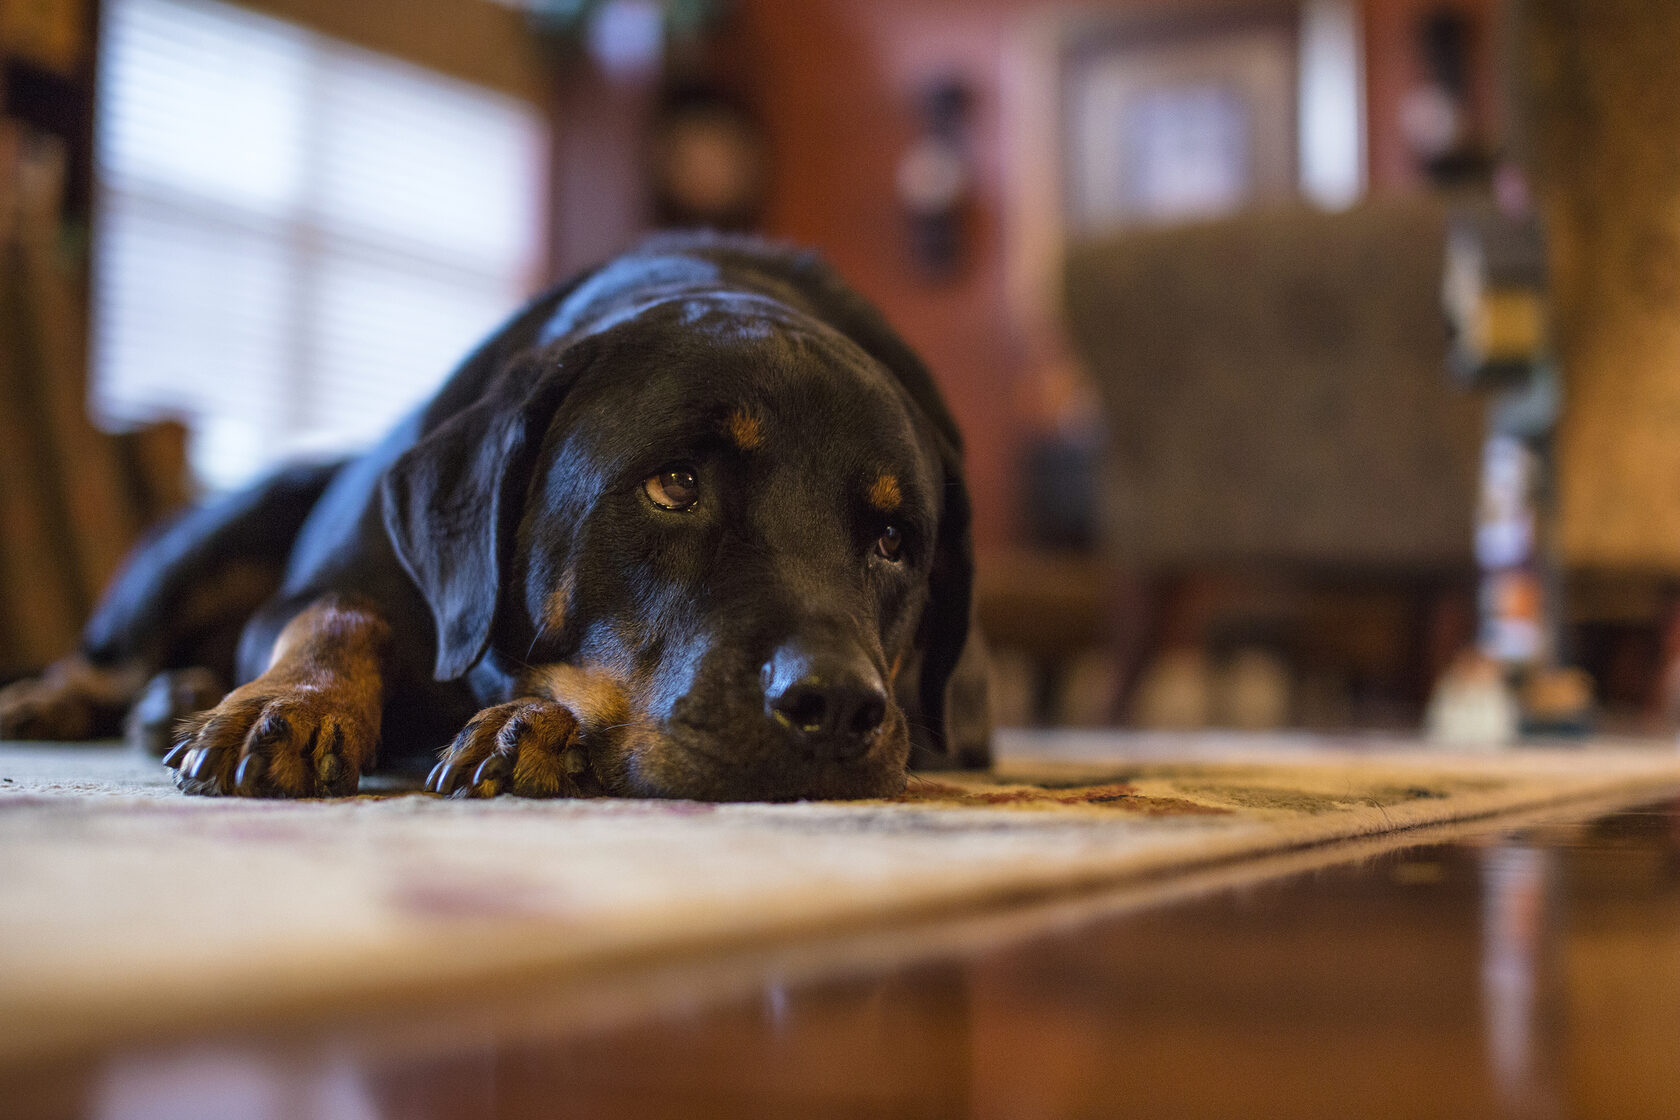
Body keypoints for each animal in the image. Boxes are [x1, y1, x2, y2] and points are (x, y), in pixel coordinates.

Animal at [0, 231, 981, 802]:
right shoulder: (336, 578)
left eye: (894, 541)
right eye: (674, 485)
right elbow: (336, 612)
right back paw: (74, 698)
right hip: (221, 535)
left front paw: (531, 725)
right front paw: (292, 703)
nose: (837, 704)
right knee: (114, 652)